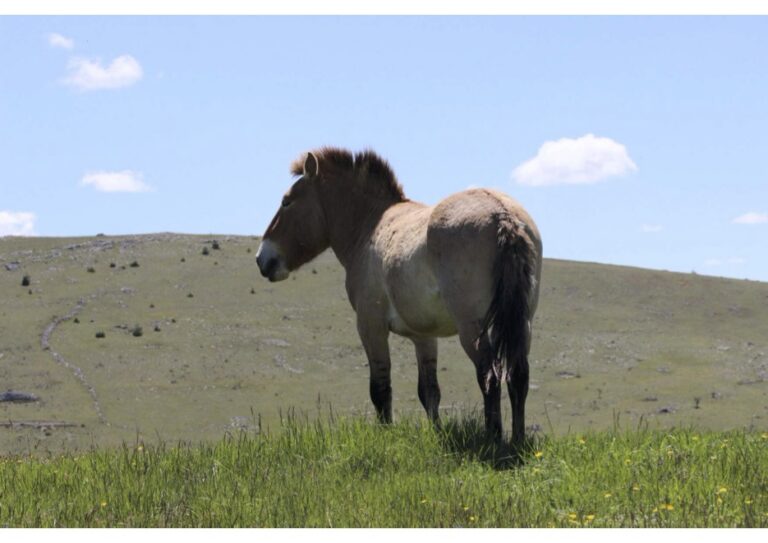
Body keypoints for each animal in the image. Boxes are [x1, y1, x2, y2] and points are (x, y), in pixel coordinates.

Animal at [256, 148, 542, 446]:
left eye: (286, 202)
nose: (262, 258)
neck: (370, 225)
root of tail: (503, 215)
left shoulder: (371, 326)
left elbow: (380, 389)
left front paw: (385, 435)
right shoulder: (424, 337)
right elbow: (429, 392)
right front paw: (435, 433)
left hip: (472, 330)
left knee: (490, 376)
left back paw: (493, 438)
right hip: (520, 325)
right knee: (517, 376)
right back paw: (517, 440)